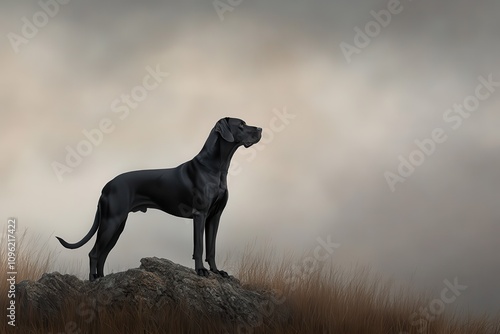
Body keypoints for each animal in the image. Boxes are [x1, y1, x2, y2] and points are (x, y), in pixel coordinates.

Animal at [57, 117, 262, 280]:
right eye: (241, 125)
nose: (260, 129)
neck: (216, 168)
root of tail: (105, 186)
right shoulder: (200, 214)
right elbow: (199, 247)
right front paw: (201, 271)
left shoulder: (215, 217)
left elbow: (211, 248)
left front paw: (217, 271)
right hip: (110, 222)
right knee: (94, 253)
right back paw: (93, 279)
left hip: (117, 227)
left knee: (103, 254)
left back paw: (102, 278)